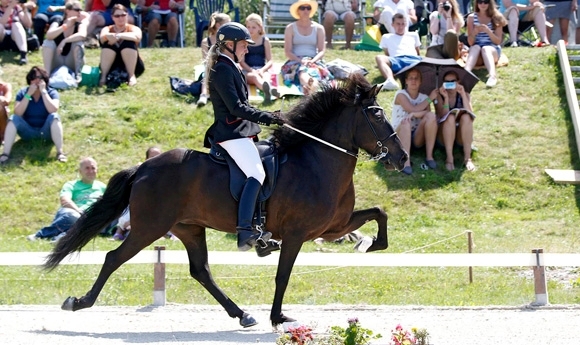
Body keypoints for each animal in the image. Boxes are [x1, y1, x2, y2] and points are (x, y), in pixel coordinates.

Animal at [44, 72, 408, 326]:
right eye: (377, 115)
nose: (402, 158)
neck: (317, 161)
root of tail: (144, 168)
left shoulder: (333, 227)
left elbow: (379, 212)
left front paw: (371, 244)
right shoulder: (296, 234)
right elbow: (283, 275)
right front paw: (278, 317)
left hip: (188, 227)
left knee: (201, 270)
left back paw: (242, 314)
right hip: (150, 227)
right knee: (113, 258)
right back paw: (79, 302)